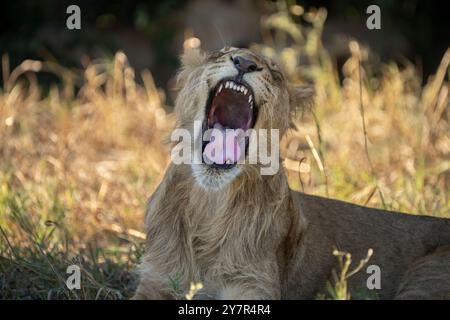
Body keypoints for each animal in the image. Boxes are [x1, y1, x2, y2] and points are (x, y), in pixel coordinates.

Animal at [133, 47, 450, 300]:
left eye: (275, 72)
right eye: (222, 53)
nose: (244, 63)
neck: (209, 208)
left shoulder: (254, 287)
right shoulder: (155, 281)